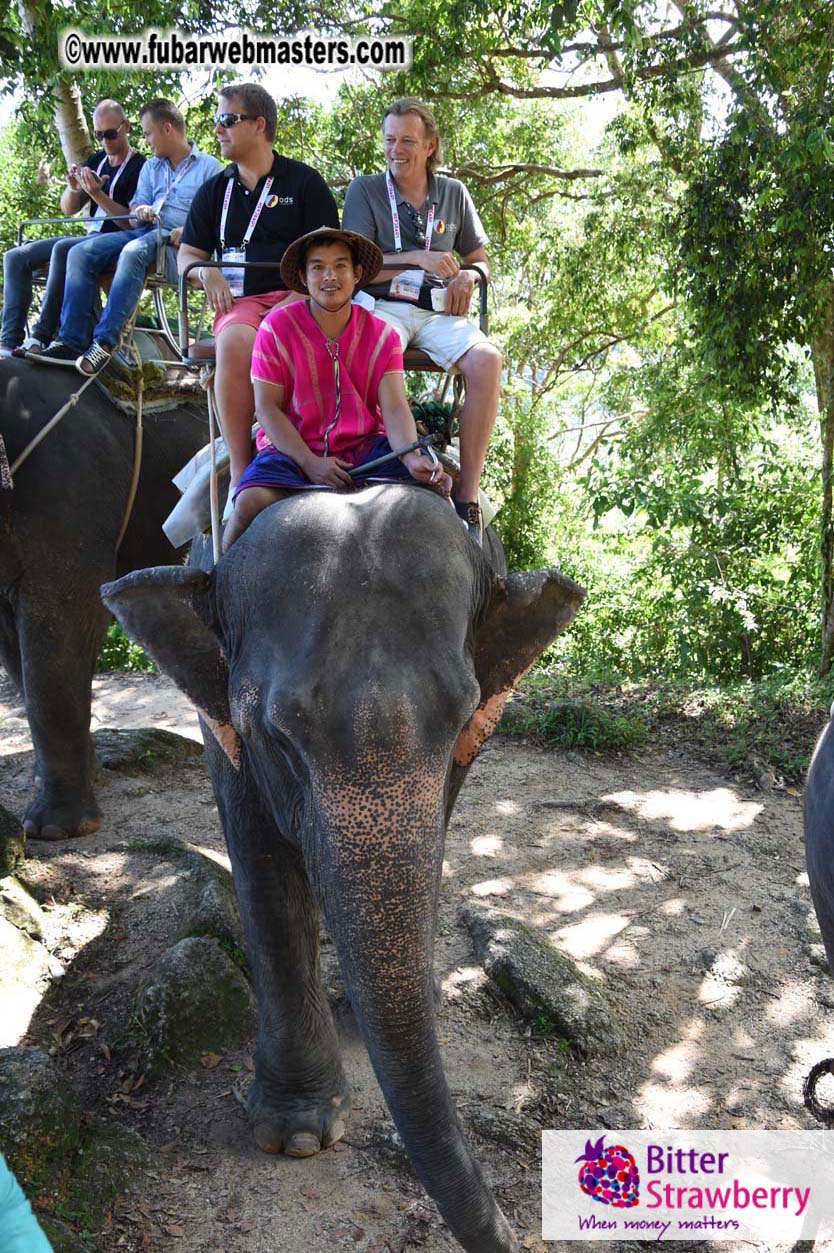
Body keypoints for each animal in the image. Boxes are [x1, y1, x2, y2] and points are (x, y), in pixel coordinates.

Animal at [102, 484, 585, 1253]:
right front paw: (296, 1136)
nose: (521, 1234)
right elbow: (262, 864)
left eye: (460, 717)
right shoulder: (221, 722)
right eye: (277, 734)